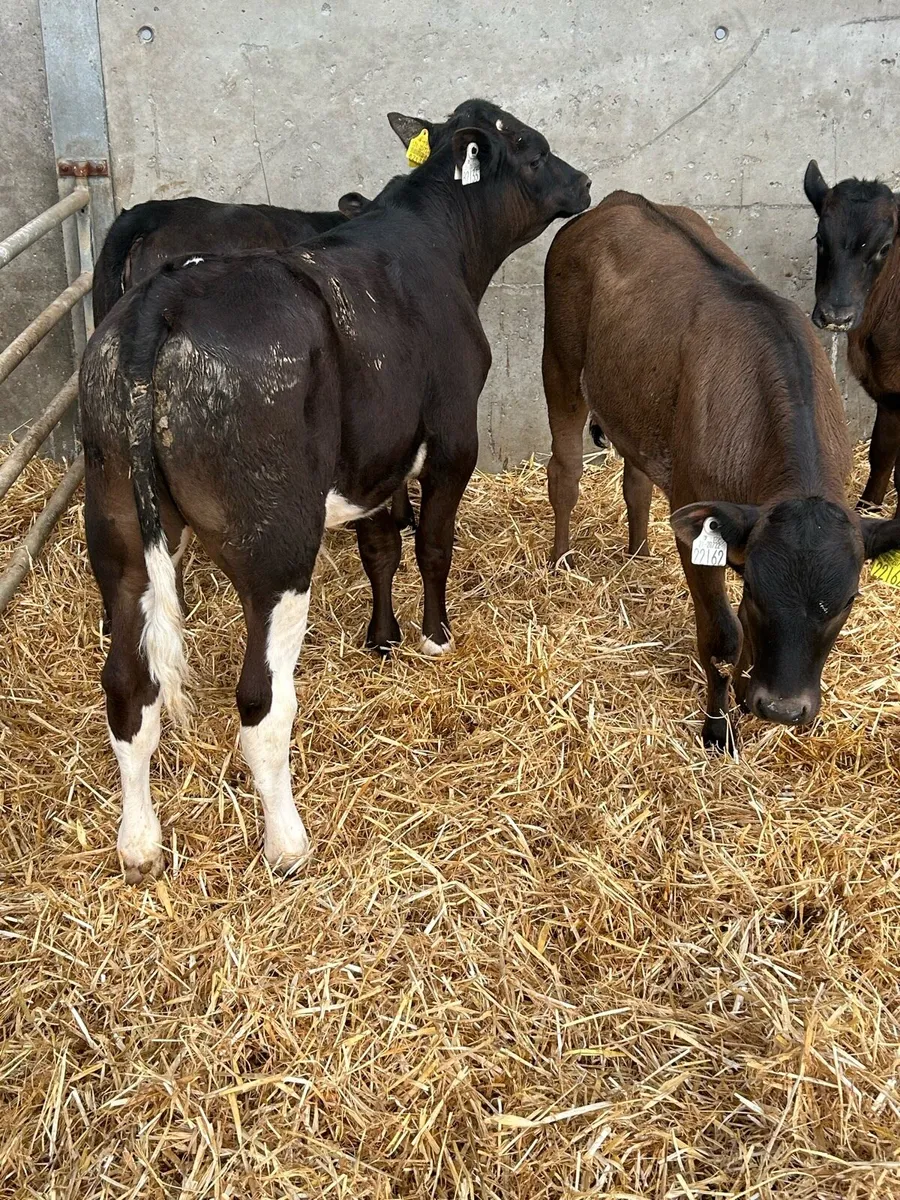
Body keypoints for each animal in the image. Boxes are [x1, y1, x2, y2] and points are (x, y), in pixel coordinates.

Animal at [79, 99, 590, 883]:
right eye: (534, 151)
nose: (585, 182)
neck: (435, 242)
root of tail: (156, 306)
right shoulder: (453, 438)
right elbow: (433, 544)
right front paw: (434, 638)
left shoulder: (375, 459)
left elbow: (381, 547)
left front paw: (382, 639)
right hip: (278, 549)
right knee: (261, 704)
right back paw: (287, 845)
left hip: (118, 532)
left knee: (129, 690)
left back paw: (140, 846)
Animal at [804, 160, 900, 517]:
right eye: (821, 239)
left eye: (884, 248)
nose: (836, 315)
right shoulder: (888, 396)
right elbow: (882, 455)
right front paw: (866, 509)